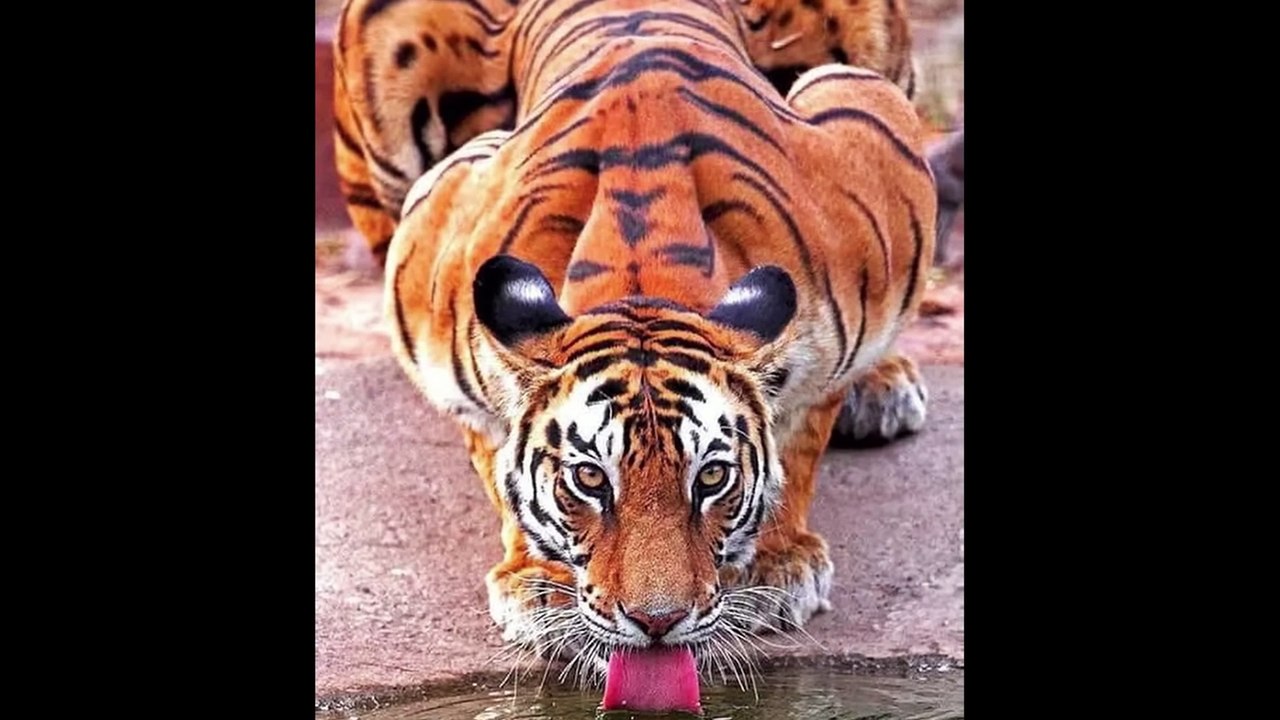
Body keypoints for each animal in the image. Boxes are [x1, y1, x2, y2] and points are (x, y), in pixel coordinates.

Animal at [332, 0, 936, 686]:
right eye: (590, 480)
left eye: (713, 477)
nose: (657, 623)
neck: (644, 276)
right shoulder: (431, 250)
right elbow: (493, 448)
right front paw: (539, 586)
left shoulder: (868, 128)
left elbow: (804, 427)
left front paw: (775, 566)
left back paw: (882, 387)